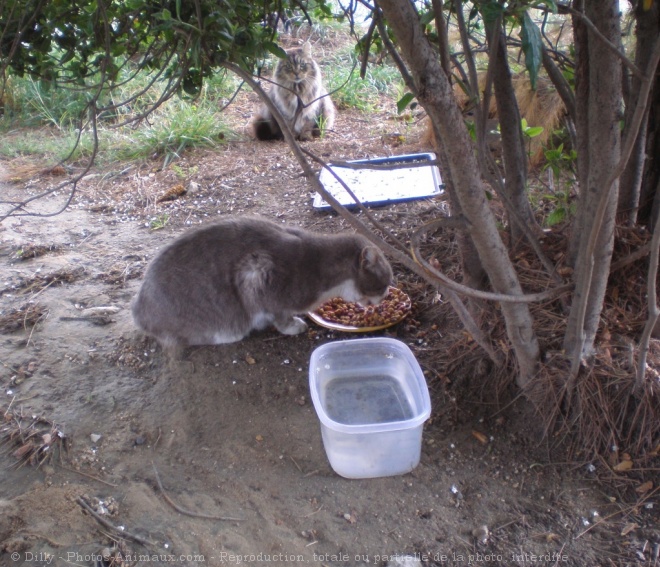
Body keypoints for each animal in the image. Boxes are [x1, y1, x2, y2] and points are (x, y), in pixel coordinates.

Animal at [133, 217, 392, 348]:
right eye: (384, 283)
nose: (386, 296)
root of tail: (139, 309)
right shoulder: (257, 274)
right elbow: (280, 315)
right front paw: (293, 326)